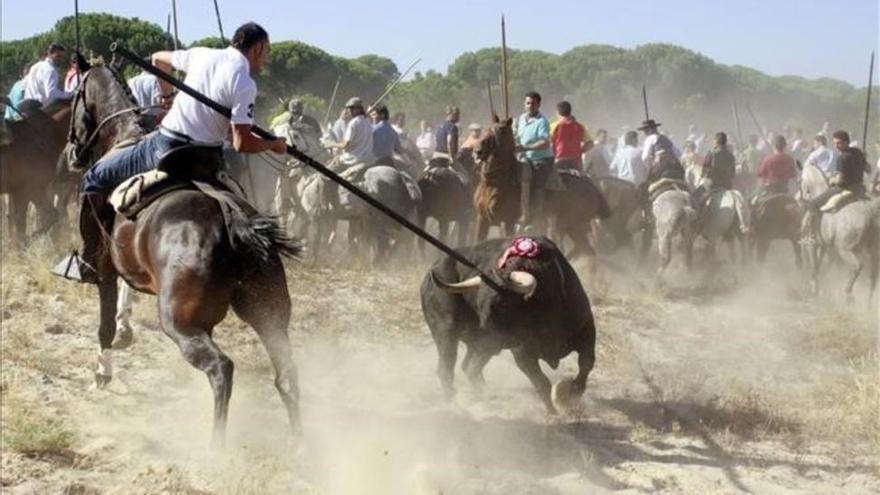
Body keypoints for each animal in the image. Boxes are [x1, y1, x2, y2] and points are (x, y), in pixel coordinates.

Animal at [67, 64, 300, 448]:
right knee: (286, 374)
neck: (123, 134)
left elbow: (104, 327)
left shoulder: (104, 267)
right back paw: (304, 441)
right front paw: (125, 330)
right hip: (269, 313)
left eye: (75, 96)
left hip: (181, 322)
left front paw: (102, 373)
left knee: (221, 369)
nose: (72, 153)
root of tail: (233, 223)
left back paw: (215, 447)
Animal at [420, 236, 600, 414]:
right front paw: (553, 413)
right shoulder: (522, 354)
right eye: (479, 301)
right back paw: (454, 405)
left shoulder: (587, 334)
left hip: (483, 348)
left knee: (470, 367)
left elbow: (586, 364)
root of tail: (427, 279)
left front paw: (574, 393)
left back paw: (486, 398)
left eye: (503, 304)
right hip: (446, 333)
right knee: (446, 370)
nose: (482, 331)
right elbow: (542, 383)